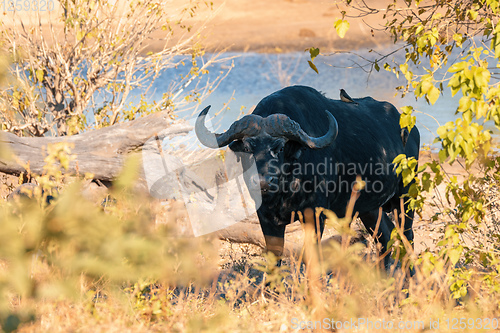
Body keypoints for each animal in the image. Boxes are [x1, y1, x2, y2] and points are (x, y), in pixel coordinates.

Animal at [194, 84, 418, 264]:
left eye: (280, 147)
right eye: (248, 148)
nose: (263, 182)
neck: (285, 188)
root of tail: (410, 128)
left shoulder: (315, 215)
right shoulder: (266, 218)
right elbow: (274, 259)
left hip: (404, 198)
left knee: (408, 238)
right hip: (370, 208)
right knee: (385, 238)